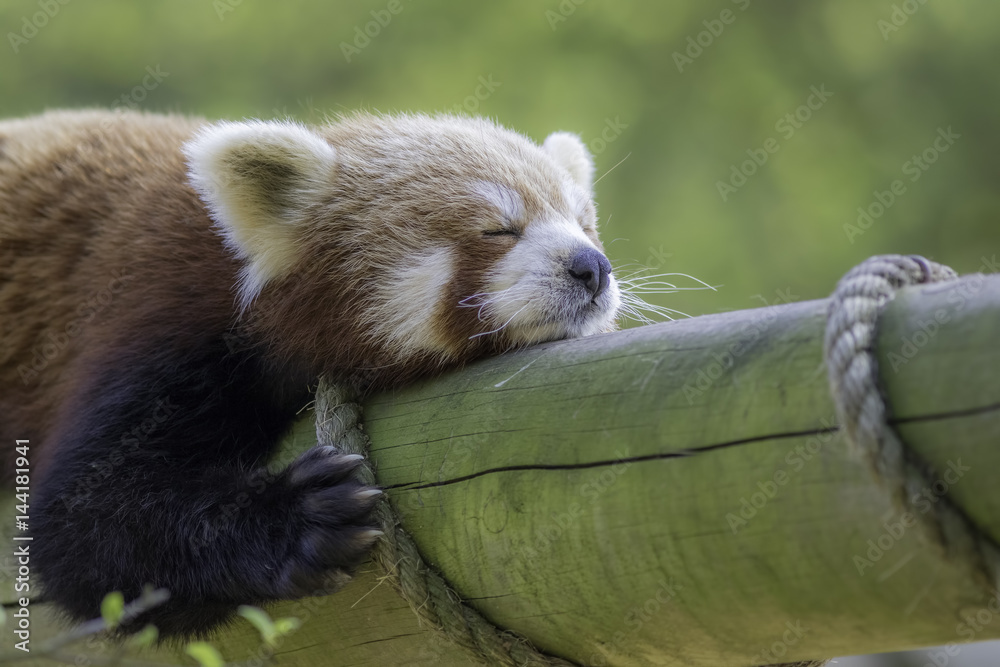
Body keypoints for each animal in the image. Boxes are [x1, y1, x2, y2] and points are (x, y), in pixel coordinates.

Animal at [0, 109, 620, 635]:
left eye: (583, 224)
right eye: (498, 229)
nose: (591, 266)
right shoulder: (156, 309)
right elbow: (78, 521)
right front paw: (300, 518)